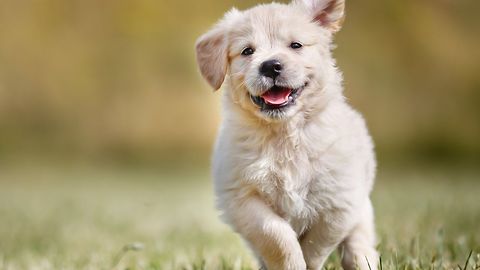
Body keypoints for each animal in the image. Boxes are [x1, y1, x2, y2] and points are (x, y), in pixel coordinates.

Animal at [195, 1, 378, 268]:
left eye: (296, 45)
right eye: (247, 51)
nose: (270, 66)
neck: (284, 134)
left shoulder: (338, 203)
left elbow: (314, 244)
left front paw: (307, 262)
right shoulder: (242, 198)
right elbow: (276, 235)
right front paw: (291, 262)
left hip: (361, 210)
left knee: (358, 245)